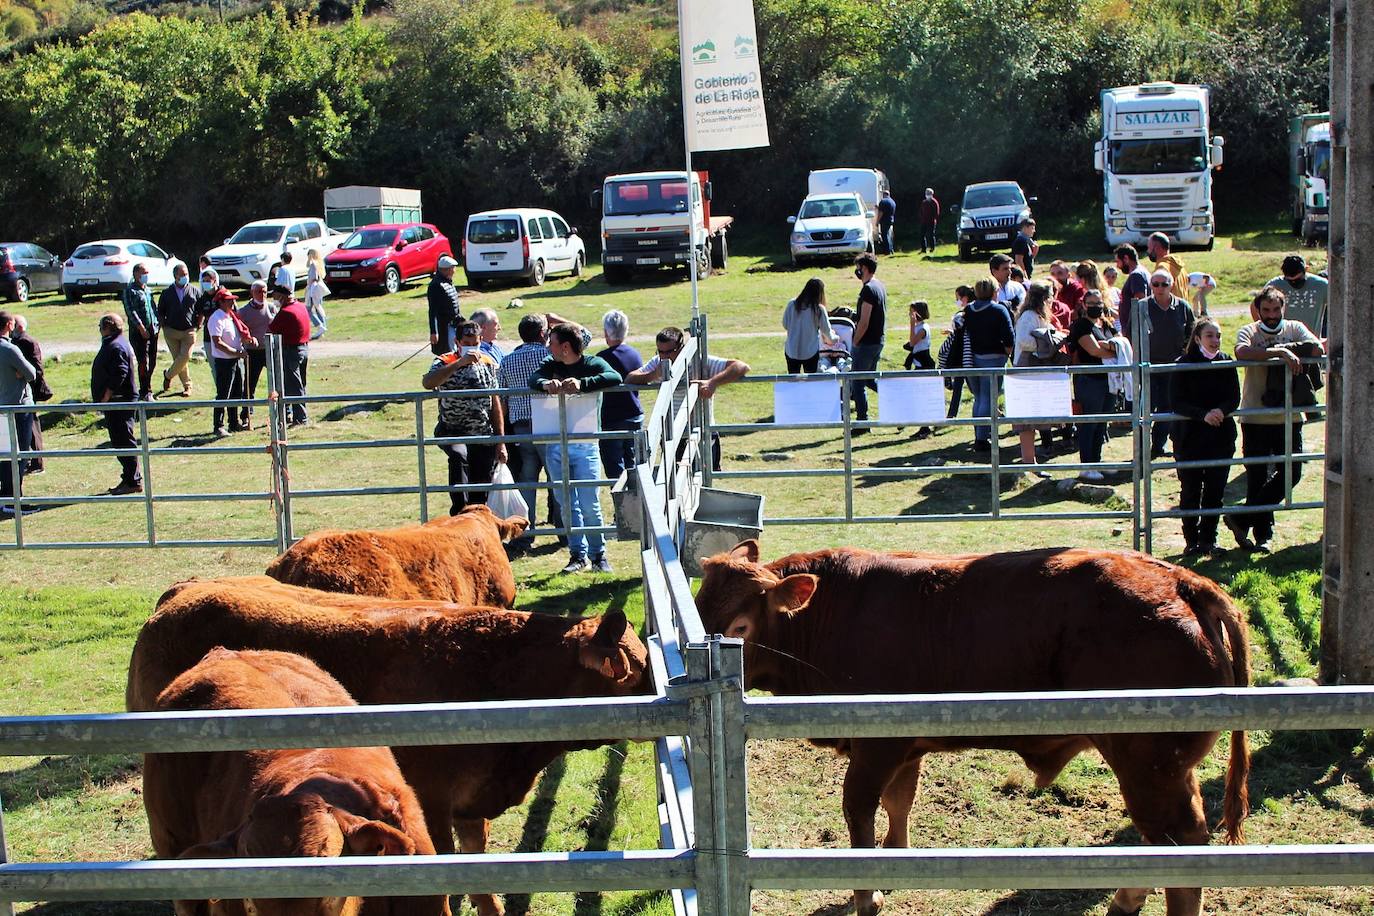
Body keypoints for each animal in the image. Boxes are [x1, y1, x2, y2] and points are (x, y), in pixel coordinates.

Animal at [692, 541, 1253, 916]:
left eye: (739, 627)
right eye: (698, 607)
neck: (829, 615)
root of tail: (1180, 580)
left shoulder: (873, 749)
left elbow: (859, 815)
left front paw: (867, 894)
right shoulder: (905, 746)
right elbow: (900, 803)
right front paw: (895, 862)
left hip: (1150, 766)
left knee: (1181, 844)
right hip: (1163, 770)